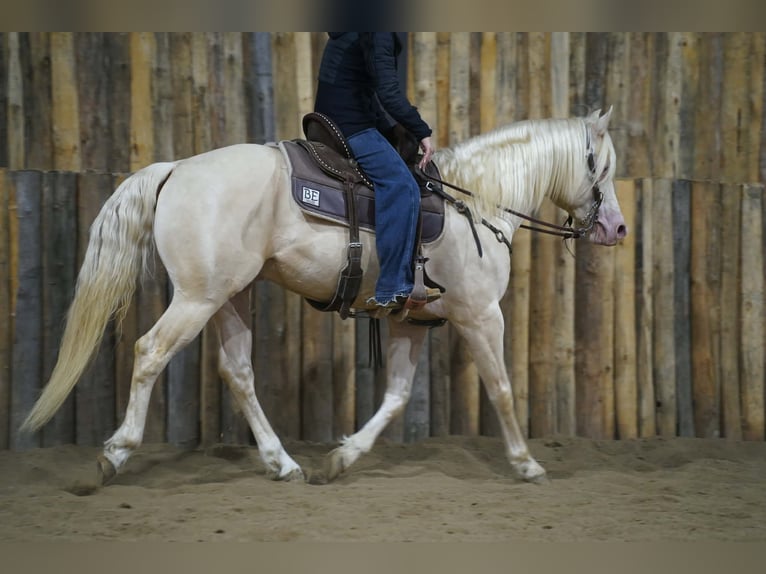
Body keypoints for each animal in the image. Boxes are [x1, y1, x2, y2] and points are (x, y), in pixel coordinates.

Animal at [21, 108, 626, 485]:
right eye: (604, 167)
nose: (616, 229)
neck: (478, 205)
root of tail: (176, 169)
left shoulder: (411, 322)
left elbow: (396, 397)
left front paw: (342, 458)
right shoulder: (481, 317)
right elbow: (500, 389)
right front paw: (526, 464)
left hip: (229, 297)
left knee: (237, 372)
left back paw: (282, 463)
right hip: (196, 298)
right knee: (150, 353)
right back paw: (115, 455)